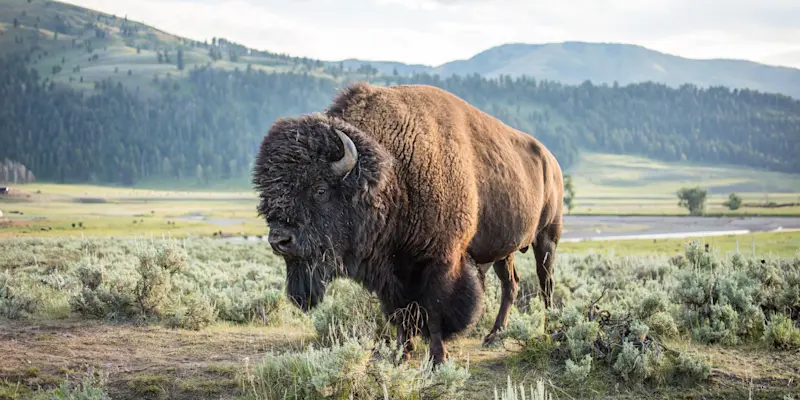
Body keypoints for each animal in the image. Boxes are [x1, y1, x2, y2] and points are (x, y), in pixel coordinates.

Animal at [252, 82, 564, 365]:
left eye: (319, 189)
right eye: (267, 195)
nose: (279, 240)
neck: (393, 172)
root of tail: (551, 160)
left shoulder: (440, 261)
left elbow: (434, 310)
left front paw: (438, 358)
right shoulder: (391, 271)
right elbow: (402, 313)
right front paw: (401, 353)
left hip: (547, 238)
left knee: (545, 282)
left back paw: (550, 329)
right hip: (504, 250)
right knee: (511, 285)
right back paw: (494, 335)